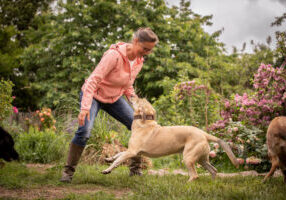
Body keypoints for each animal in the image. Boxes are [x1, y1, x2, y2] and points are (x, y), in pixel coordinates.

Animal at [101, 97, 238, 181]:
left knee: (195, 175)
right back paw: (212, 182)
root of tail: (204, 134)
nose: (131, 94)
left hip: (188, 158)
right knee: (213, 170)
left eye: (139, 100)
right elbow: (118, 154)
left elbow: (117, 161)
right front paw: (108, 158)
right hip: (201, 159)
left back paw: (187, 184)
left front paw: (107, 170)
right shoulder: (132, 151)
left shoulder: (132, 151)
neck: (144, 123)